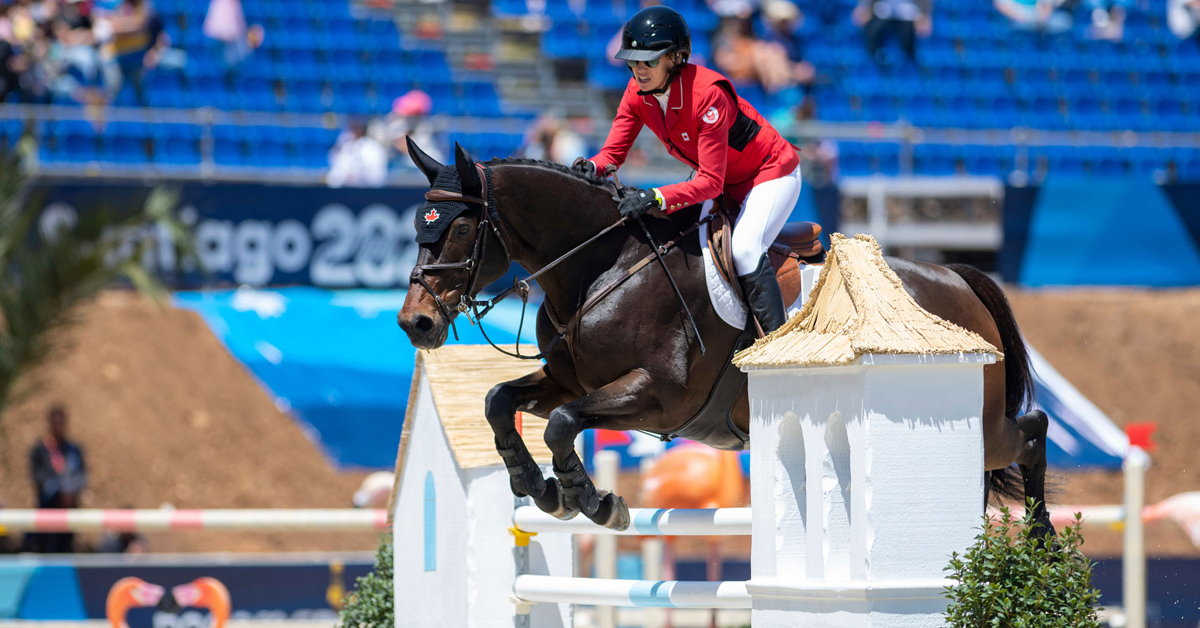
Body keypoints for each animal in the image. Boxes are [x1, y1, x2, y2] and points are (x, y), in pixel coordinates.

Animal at [396, 141, 1051, 535]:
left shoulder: (658, 395)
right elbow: (498, 401)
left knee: (1031, 432)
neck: (599, 269)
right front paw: (536, 487)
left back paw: (1042, 541)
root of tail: (956, 276)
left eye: (459, 229)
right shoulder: (567, 380)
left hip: (980, 424)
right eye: (416, 226)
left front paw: (593, 501)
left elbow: (560, 424)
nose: (415, 323)